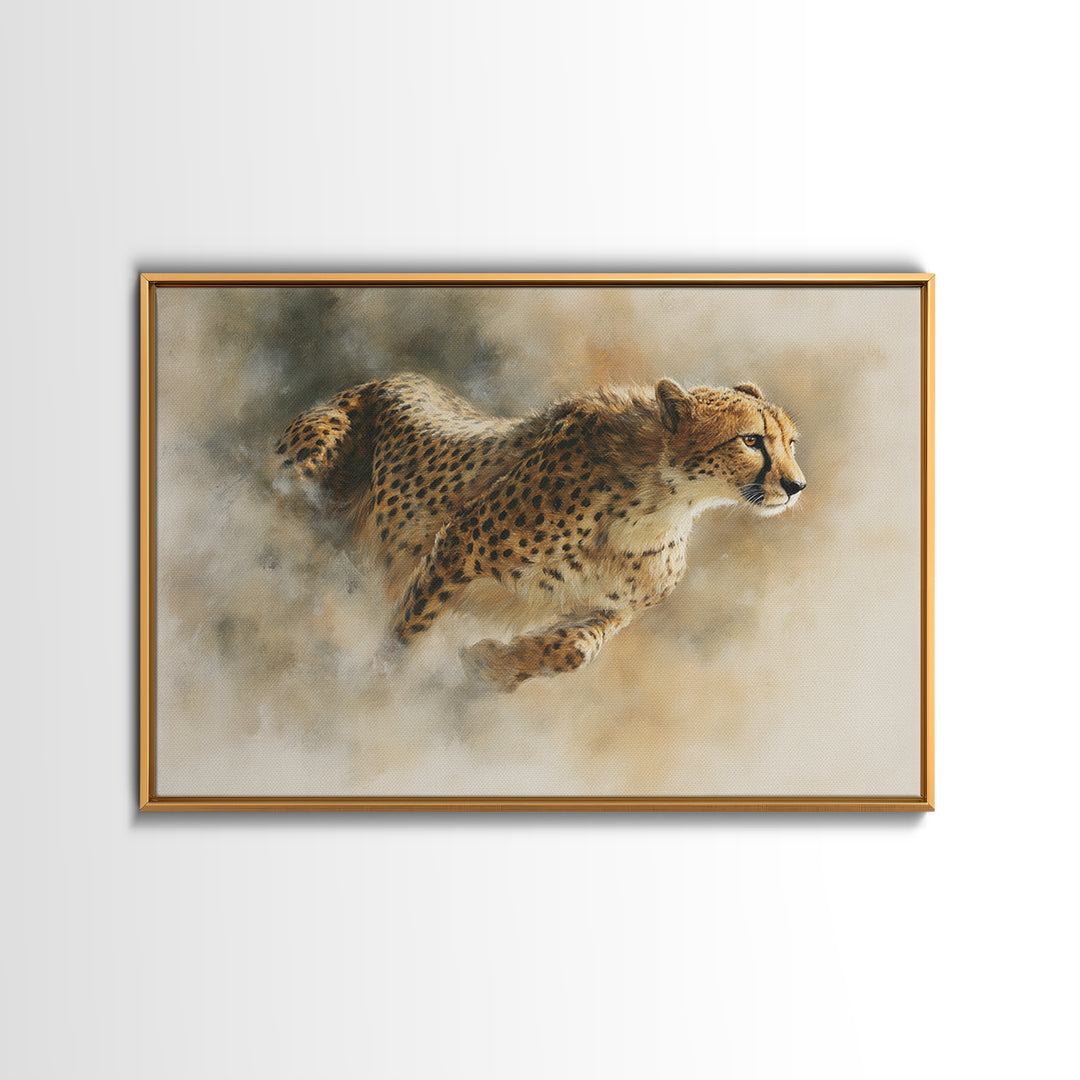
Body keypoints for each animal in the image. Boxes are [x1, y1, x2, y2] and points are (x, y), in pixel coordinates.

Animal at [275, 372, 805, 691]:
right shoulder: (455, 546)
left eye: (791, 442)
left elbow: (576, 649)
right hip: (306, 483)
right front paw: (378, 691)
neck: (659, 498)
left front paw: (492, 662)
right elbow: (407, 632)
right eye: (751, 440)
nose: (797, 485)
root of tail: (394, 377)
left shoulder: (610, 608)